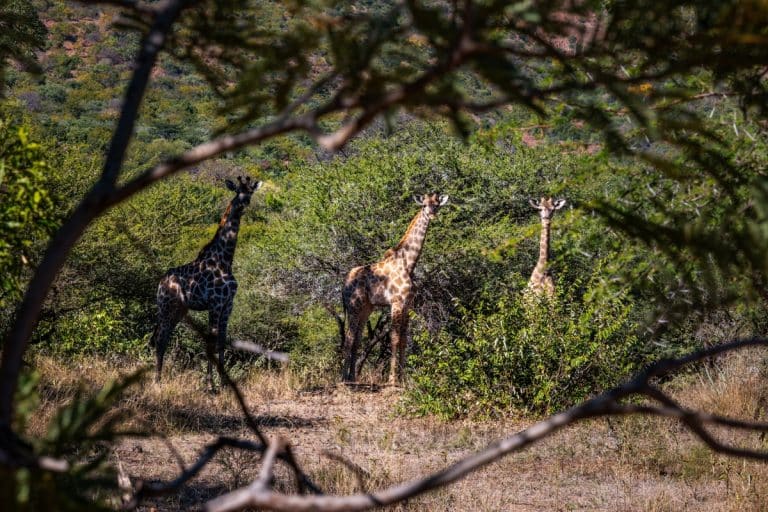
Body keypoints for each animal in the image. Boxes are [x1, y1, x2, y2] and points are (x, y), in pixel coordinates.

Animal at [150, 176, 262, 388]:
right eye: (238, 191)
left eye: (251, 191)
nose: (244, 202)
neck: (225, 260)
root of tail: (160, 283)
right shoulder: (215, 303)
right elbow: (211, 340)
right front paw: (210, 384)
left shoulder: (228, 304)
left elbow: (222, 340)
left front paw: (224, 382)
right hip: (166, 307)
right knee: (159, 338)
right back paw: (157, 380)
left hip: (180, 310)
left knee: (164, 337)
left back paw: (160, 378)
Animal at [342, 193, 449, 385]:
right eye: (424, 205)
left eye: (437, 205)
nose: (432, 215)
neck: (409, 264)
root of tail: (344, 283)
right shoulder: (396, 303)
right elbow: (394, 338)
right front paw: (392, 380)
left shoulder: (408, 305)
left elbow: (404, 340)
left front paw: (403, 378)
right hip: (353, 306)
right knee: (349, 338)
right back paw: (344, 379)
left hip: (366, 308)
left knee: (357, 339)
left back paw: (353, 377)